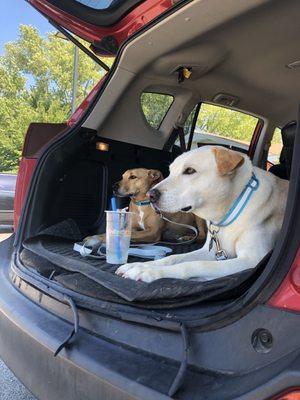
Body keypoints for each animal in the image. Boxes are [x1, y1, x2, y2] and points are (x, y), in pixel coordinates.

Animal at [116, 146, 288, 282]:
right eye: (171, 171)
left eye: (190, 171)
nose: (150, 195)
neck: (228, 210)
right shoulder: (210, 251)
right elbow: (172, 258)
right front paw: (139, 265)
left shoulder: (251, 260)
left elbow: (193, 264)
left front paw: (149, 271)